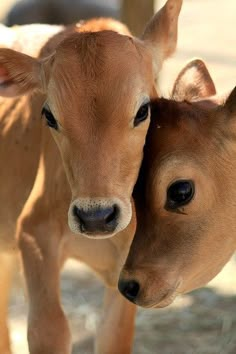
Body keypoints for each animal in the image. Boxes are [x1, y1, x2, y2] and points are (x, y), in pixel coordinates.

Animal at [0, 0, 183, 354]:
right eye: (49, 115)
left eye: (143, 110)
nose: (96, 217)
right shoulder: (32, 234)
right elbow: (50, 331)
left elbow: (114, 336)